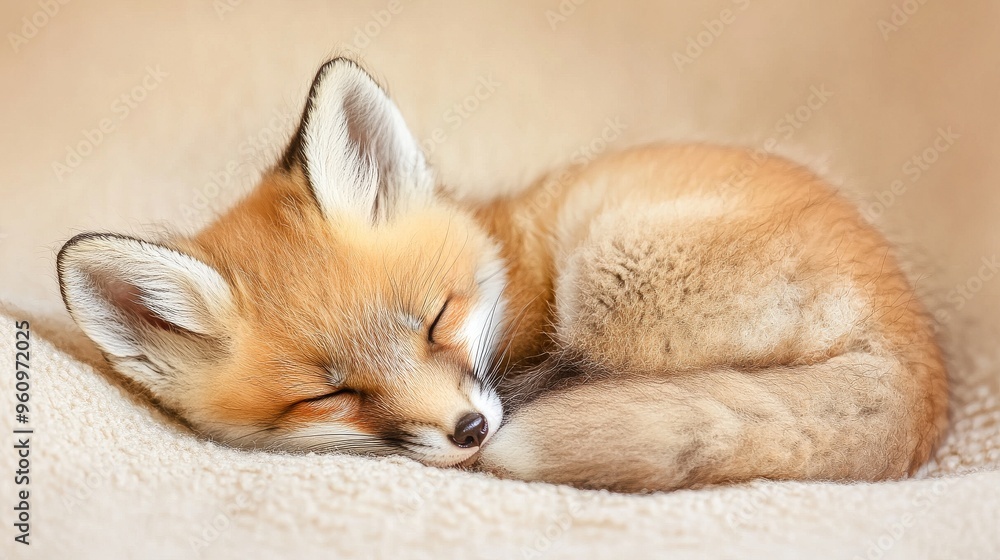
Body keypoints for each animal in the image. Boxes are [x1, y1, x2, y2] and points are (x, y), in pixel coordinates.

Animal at [57, 58, 948, 492]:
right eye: (331, 395)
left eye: (435, 319)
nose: (468, 433)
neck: (505, 257)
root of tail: (922, 364)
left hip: (609, 269)